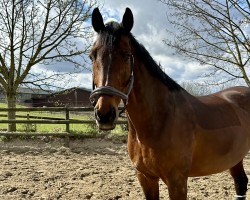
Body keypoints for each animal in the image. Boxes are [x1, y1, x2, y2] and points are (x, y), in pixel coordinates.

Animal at [90, 7, 250, 199]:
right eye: (92, 56)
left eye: (127, 55)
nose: (104, 114)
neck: (159, 119)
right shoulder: (146, 177)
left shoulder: (177, 181)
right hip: (235, 158)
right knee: (240, 183)